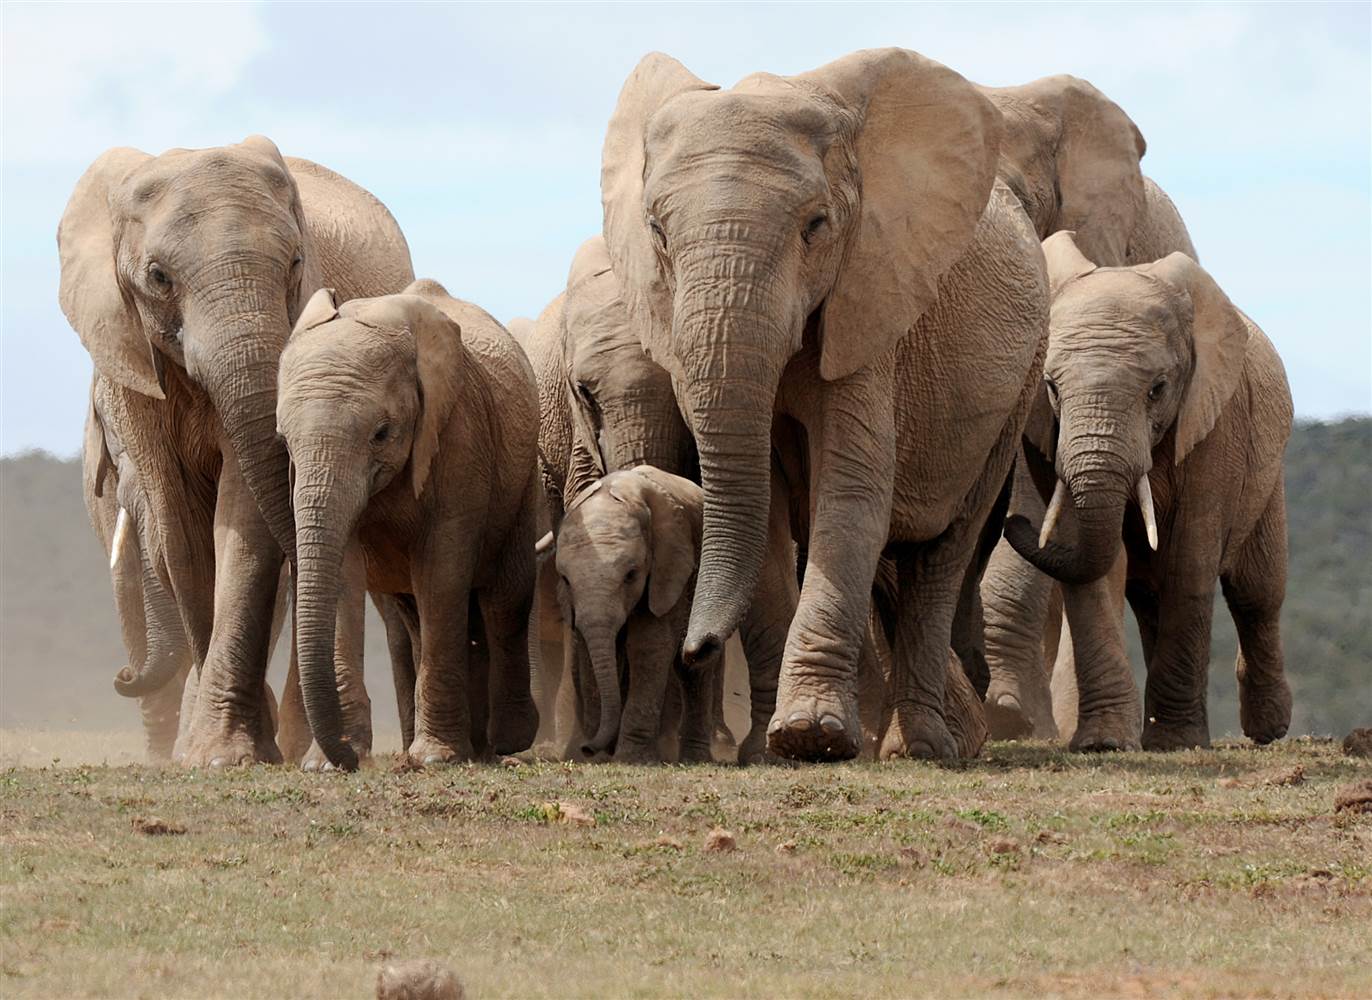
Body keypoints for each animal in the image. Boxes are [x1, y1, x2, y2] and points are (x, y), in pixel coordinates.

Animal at [58, 137, 414, 766]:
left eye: (295, 264)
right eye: (158, 276)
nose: (121, 677)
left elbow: (243, 517)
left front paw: (227, 753)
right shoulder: (129, 365)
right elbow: (180, 530)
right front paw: (224, 751)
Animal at [276, 280, 541, 768]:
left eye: (382, 433)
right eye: (284, 440)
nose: (350, 760)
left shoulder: (460, 435)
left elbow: (441, 572)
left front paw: (434, 759)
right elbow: (344, 574)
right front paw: (325, 764)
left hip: (521, 480)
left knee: (505, 597)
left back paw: (505, 743)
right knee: (417, 613)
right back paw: (474, 745)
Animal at [552, 466, 794, 764]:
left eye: (631, 575)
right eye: (565, 580)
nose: (588, 748)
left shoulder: (669, 567)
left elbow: (648, 647)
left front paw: (631, 758)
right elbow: (588, 648)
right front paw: (601, 757)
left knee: (693, 671)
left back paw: (694, 758)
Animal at [600, 48, 1048, 761]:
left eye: (816, 226)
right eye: (657, 233)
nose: (696, 649)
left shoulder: (871, 303)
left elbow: (852, 488)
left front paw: (811, 736)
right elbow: (768, 507)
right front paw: (770, 752)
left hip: (1020, 382)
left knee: (942, 552)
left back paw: (923, 747)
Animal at [1002, 232, 1293, 751]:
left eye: (1157, 389)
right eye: (1051, 387)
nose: (1014, 520)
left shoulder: (1217, 425)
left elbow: (1191, 560)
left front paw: (1177, 742)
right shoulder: (1046, 434)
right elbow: (1095, 562)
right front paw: (1104, 743)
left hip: (1267, 468)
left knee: (1256, 592)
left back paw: (1268, 730)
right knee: (1149, 594)